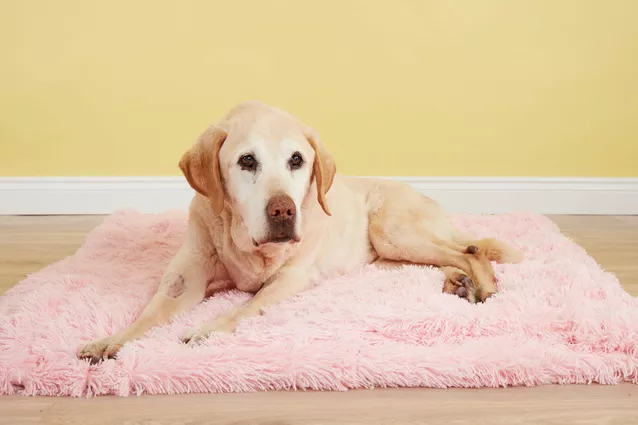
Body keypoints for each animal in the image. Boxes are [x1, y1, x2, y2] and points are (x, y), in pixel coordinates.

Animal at [76, 99, 524, 362]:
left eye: (297, 159)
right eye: (246, 161)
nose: (283, 210)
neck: (247, 246)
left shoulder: (289, 280)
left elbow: (246, 307)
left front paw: (207, 329)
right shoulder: (185, 280)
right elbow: (148, 315)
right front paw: (109, 341)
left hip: (393, 230)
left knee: (469, 249)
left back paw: (484, 286)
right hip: (388, 256)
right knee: (448, 256)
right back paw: (458, 283)